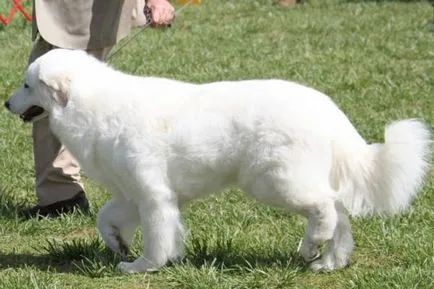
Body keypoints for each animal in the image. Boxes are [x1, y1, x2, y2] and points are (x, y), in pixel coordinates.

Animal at [5, 49, 432, 272]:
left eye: (27, 85)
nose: (7, 103)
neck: (93, 106)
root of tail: (326, 108)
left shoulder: (153, 194)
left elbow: (158, 234)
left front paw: (145, 265)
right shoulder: (131, 194)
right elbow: (107, 219)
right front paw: (119, 246)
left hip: (276, 182)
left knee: (327, 208)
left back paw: (312, 246)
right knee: (340, 214)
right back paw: (328, 261)